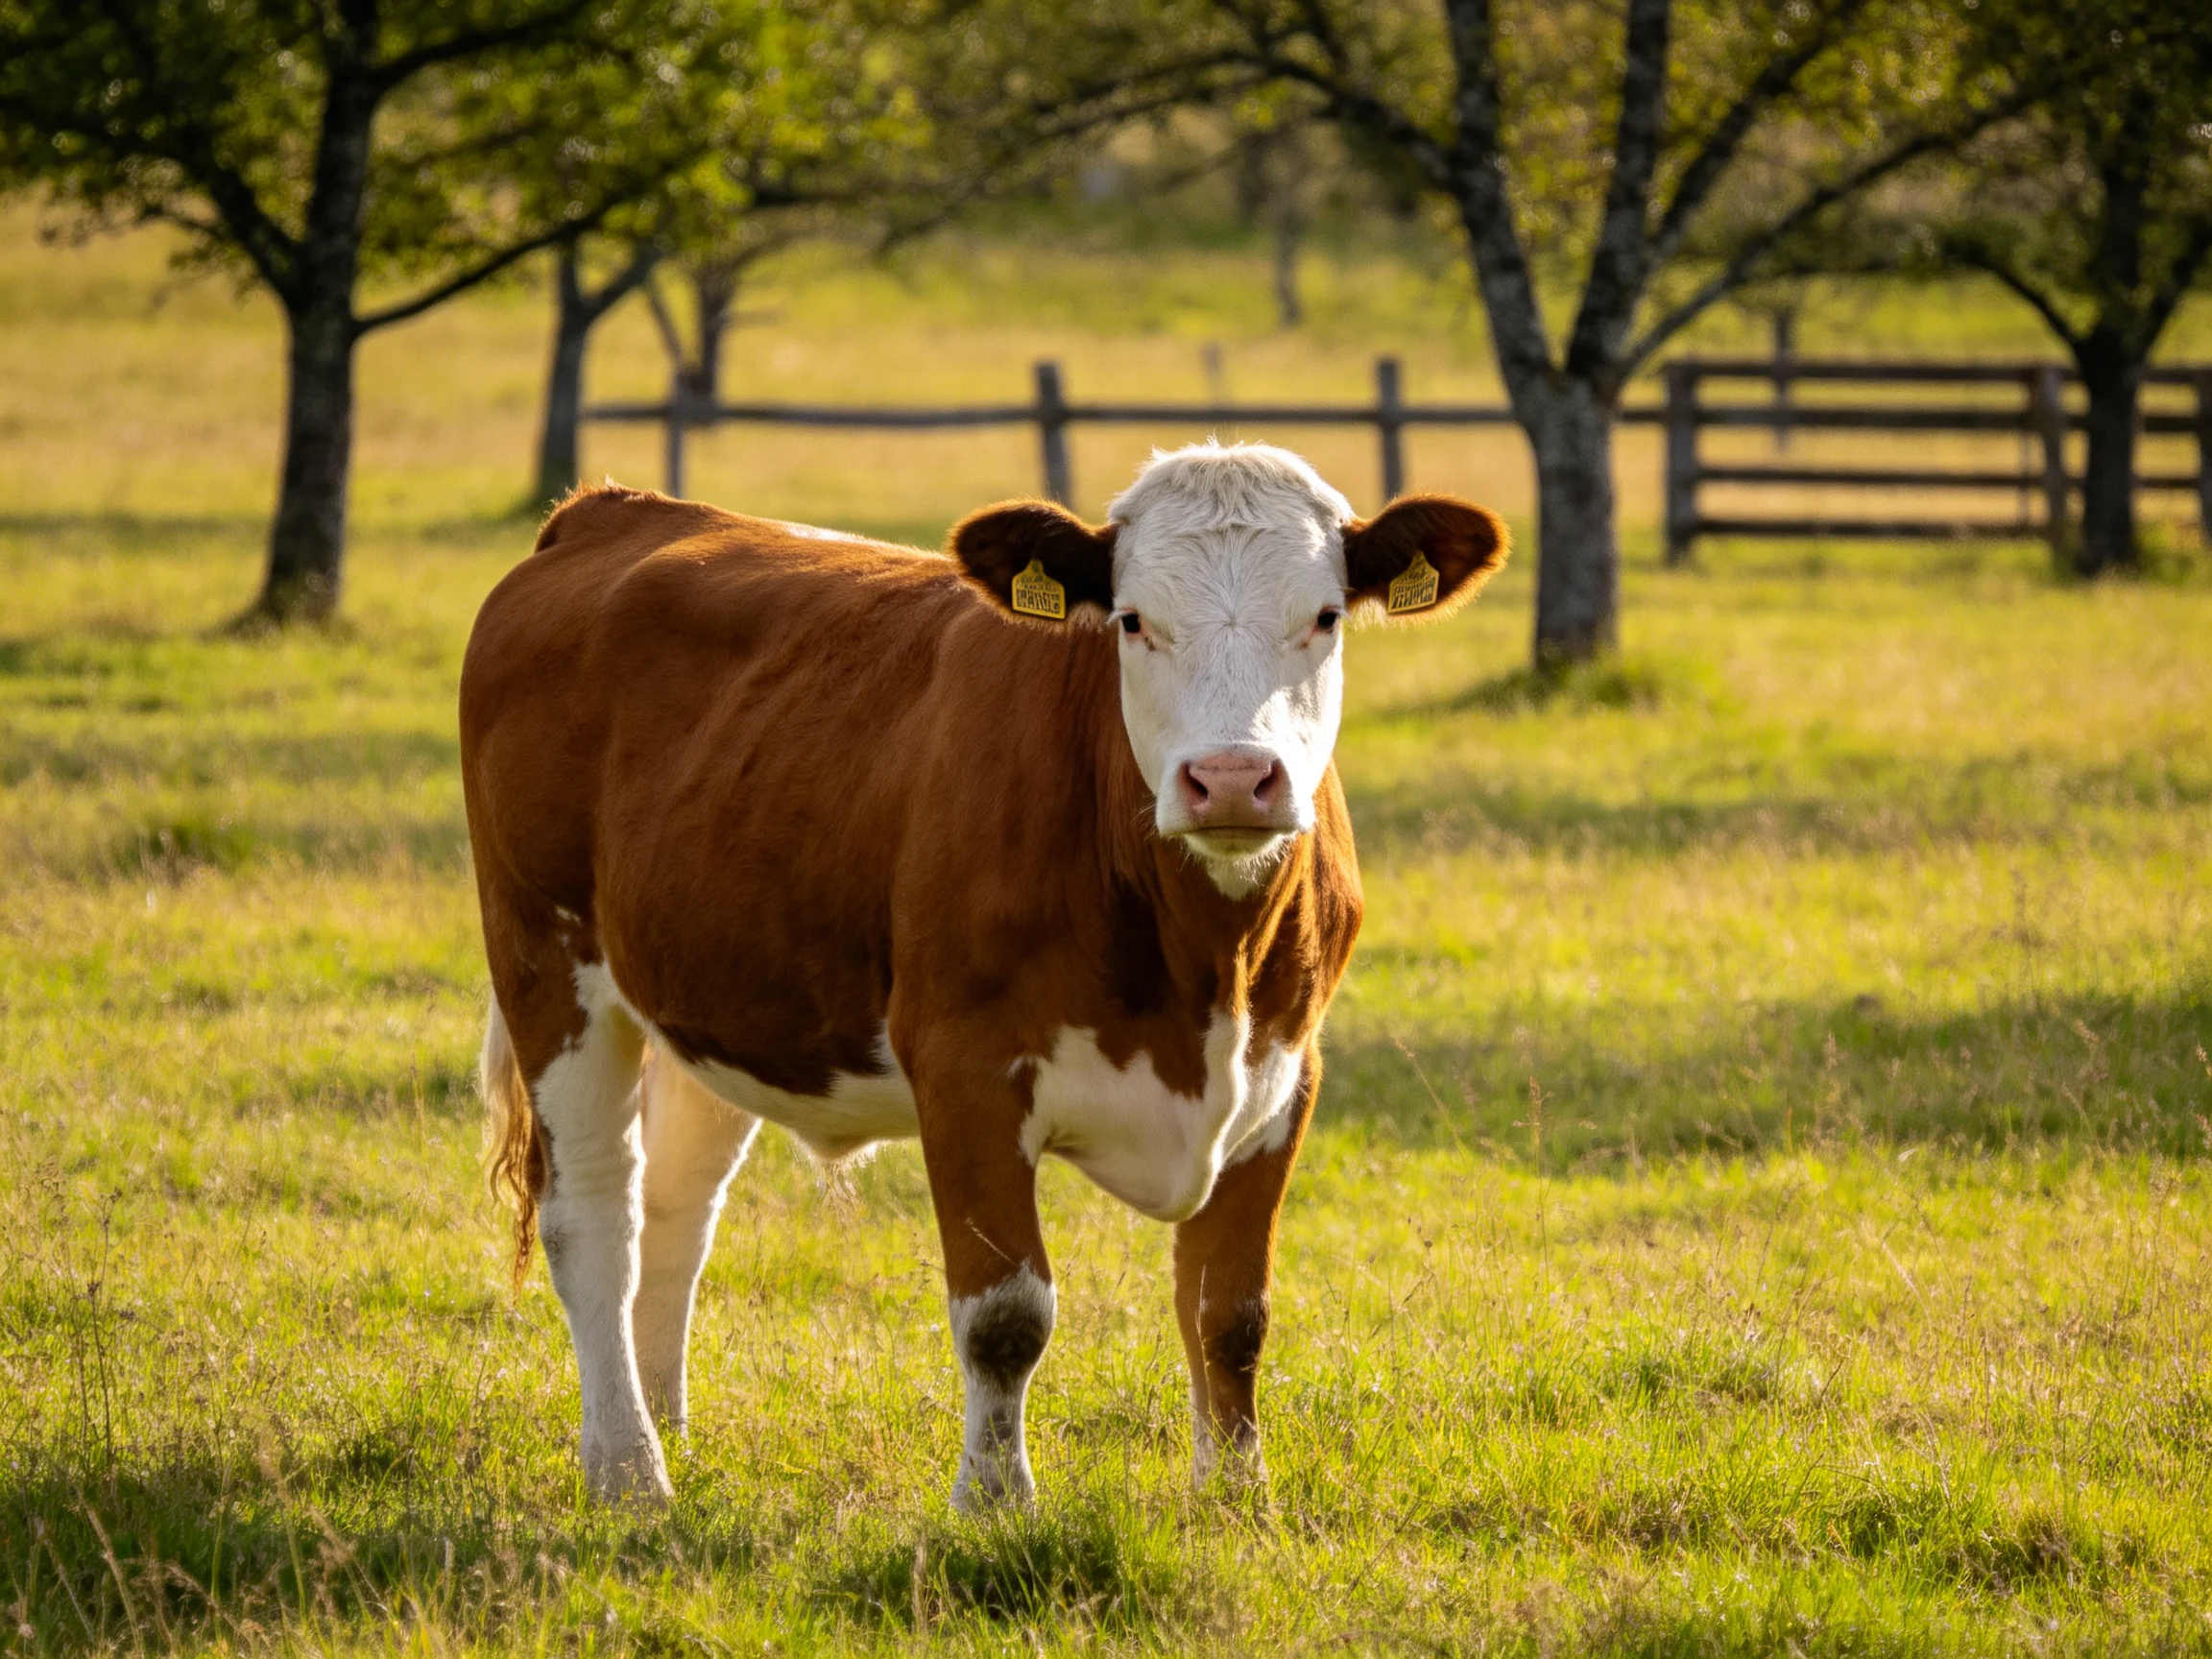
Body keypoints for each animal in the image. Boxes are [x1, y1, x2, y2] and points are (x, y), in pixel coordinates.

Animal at [461, 441, 1507, 1507]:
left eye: (1326, 615)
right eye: (1134, 619)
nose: (1230, 779)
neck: (1205, 966)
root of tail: (610, 508)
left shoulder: (1285, 1075)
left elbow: (1230, 1313)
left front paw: (1235, 1499)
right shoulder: (964, 1070)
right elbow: (1007, 1314)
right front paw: (996, 1504)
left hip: (712, 989)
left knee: (678, 1203)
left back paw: (667, 1422)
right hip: (547, 961)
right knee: (593, 1216)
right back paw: (629, 1469)